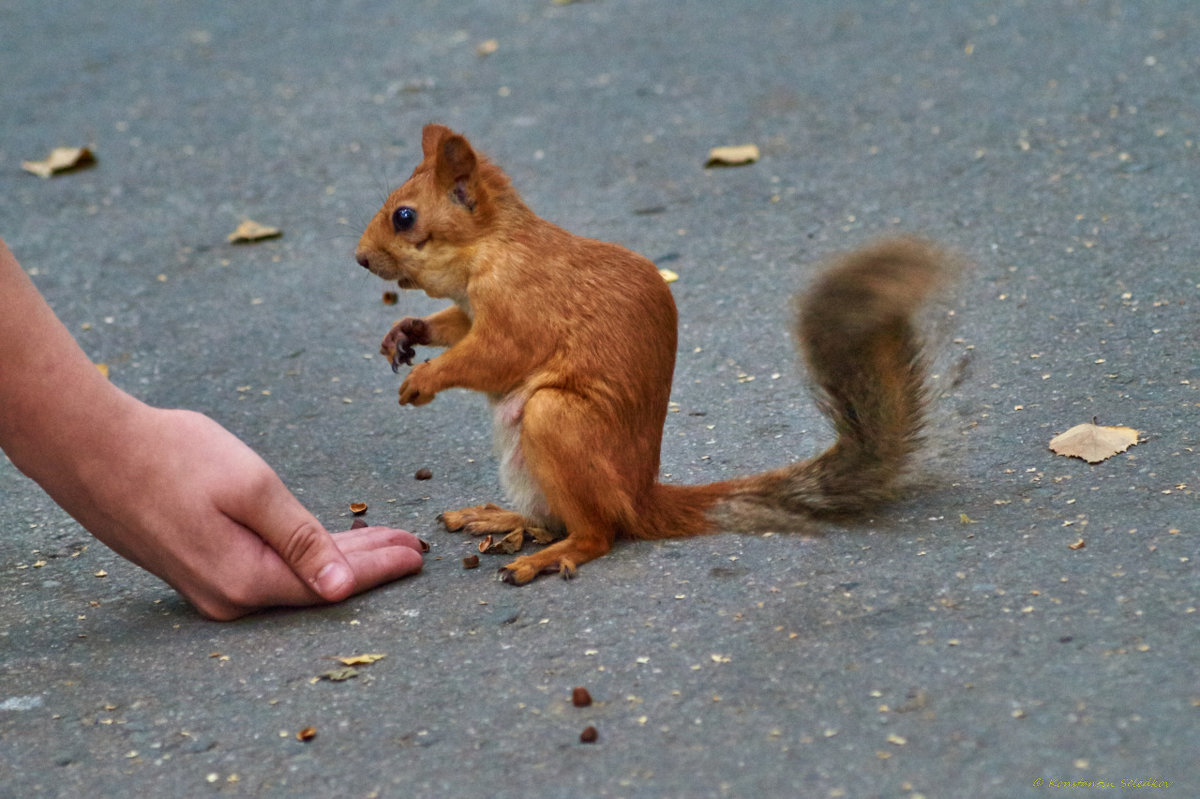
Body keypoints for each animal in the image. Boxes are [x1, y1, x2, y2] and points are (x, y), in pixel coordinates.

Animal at [352, 125, 955, 585]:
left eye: (404, 217)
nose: (360, 258)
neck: (492, 247)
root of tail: (641, 498)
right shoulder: (471, 309)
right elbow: (454, 327)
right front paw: (405, 332)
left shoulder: (522, 308)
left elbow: (494, 356)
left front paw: (424, 379)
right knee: (554, 518)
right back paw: (500, 518)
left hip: (557, 421)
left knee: (597, 533)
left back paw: (549, 557)